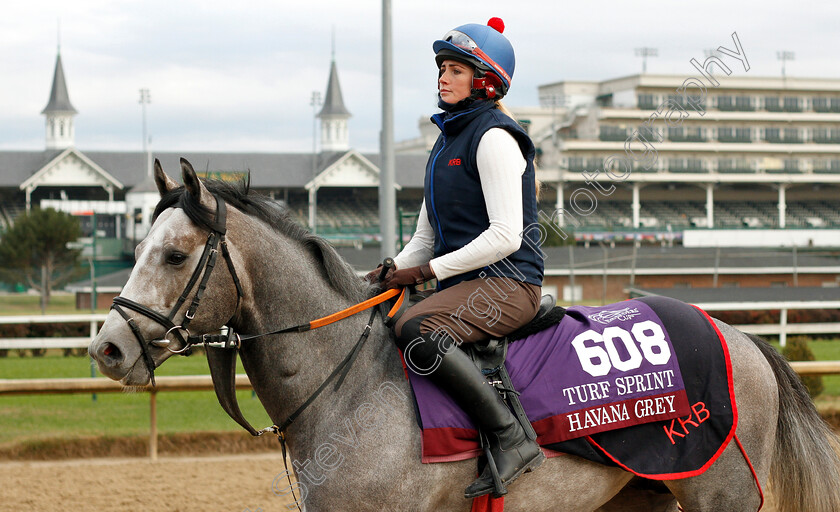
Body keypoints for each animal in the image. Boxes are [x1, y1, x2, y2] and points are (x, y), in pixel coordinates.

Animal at [90, 158, 840, 510]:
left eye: (175, 256)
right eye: (138, 247)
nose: (107, 347)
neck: (349, 386)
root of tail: (741, 338)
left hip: (720, 493)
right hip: (644, 494)